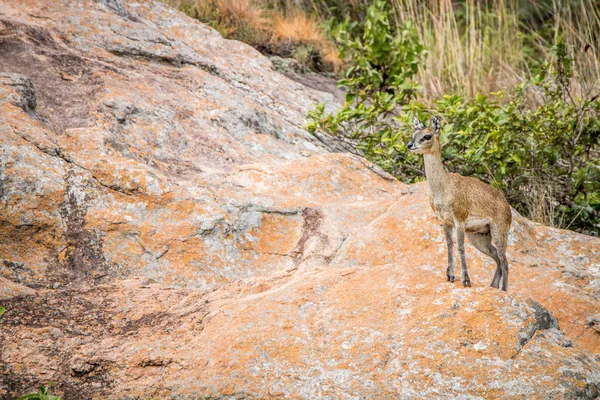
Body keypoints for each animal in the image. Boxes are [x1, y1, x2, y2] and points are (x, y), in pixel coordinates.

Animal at [410, 115, 512, 290]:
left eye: (427, 136)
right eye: (414, 134)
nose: (410, 145)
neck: (442, 187)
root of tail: (507, 206)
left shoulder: (459, 220)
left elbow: (460, 247)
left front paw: (466, 280)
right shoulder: (445, 221)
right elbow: (449, 245)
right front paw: (450, 276)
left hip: (499, 231)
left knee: (505, 261)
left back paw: (503, 290)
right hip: (479, 236)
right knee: (497, 259)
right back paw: (493, 286)